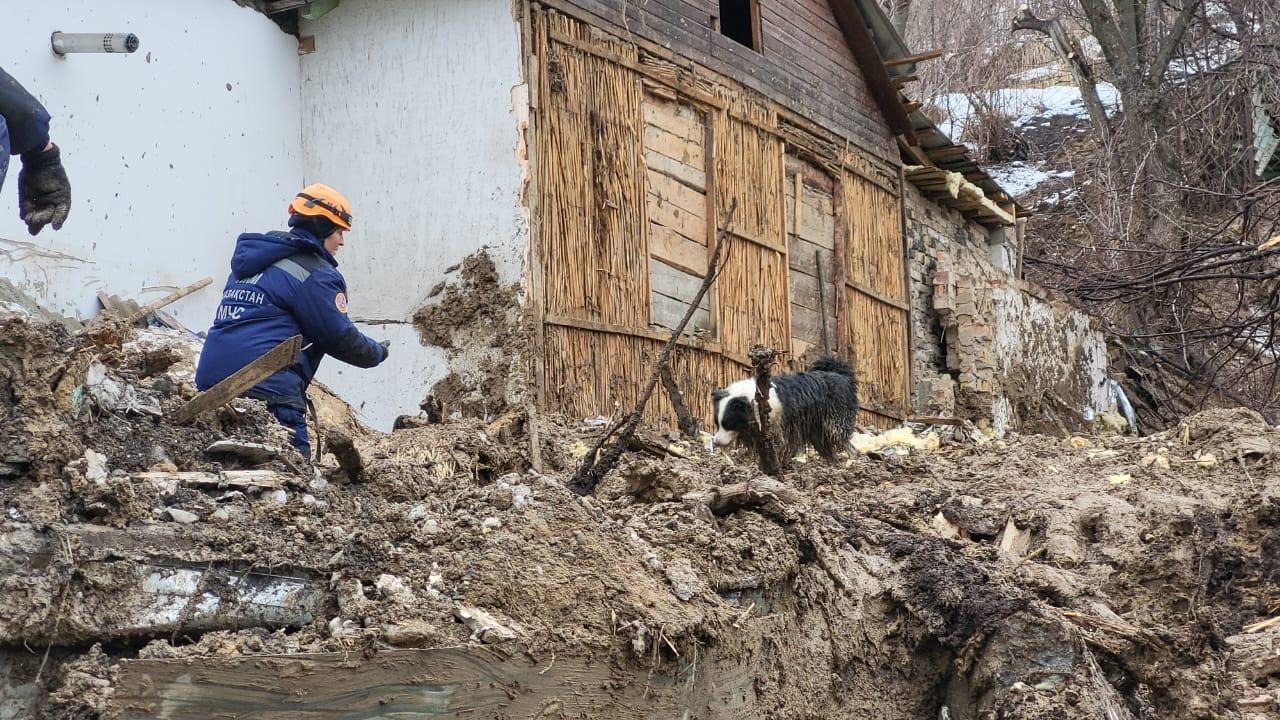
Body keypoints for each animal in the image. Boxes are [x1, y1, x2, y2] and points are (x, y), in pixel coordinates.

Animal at [711, 353, 860, 458]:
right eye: (717, 424)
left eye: (728, 424)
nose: (716, 442)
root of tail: (842, 376)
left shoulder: (781, 429)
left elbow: (781, 448)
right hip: (818, 428)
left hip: (834, 423)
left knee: (847, 444)